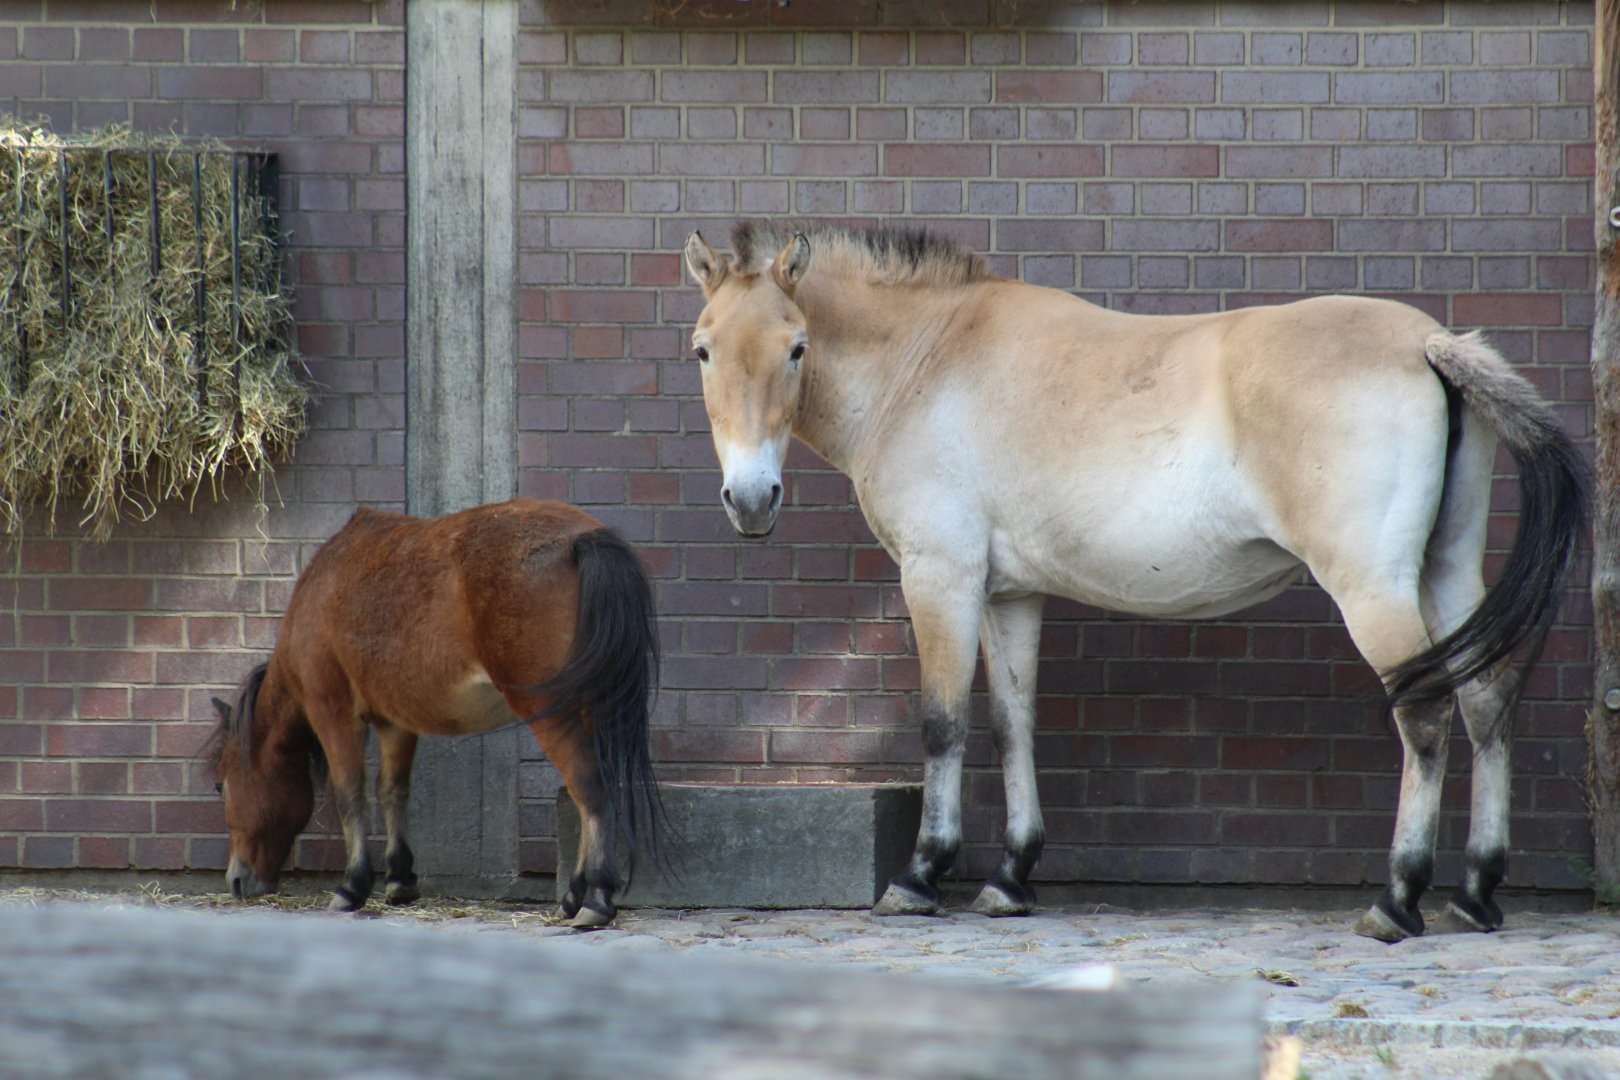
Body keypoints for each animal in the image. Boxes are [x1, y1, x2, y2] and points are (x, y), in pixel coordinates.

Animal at [208, 498, 662, 927]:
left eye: (221, 786)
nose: (237, 880)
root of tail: (580, 539)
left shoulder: (331, 710)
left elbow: (349, 792)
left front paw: (352, 886)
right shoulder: (395, 722)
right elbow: (391, 790)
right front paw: (399, 879)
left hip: (552, 710)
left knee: (589, 788)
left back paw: (596, 899)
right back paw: (574, 895)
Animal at [683, 221, 1588, 942]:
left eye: (797, 347)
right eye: (703, 349)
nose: (751, 499)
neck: (928, 358)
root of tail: (1428, 344)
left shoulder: (941, 577)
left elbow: (944, 725)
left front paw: (921, 875)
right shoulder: (1009, 596)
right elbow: (1012, 724)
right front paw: (1010, 877)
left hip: (1373, 587)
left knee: (1425, 713)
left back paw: (1398, 899)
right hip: (1445, 572)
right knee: (1485, 701)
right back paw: (1475, 892)